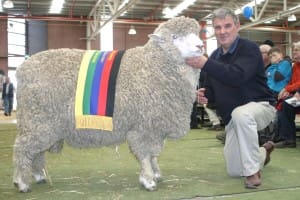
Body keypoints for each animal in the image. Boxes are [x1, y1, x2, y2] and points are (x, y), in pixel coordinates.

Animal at [12, 16, 203, 193]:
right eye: (175, 37)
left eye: (197, 33)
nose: (200, 46)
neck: (153, 65)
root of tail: (22, 69)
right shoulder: (143, 127)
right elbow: (145, 155)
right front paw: (148, 180)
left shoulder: (156, 127)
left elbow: (153, 155)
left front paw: (156, 173)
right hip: (37, 120)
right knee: (22, 148)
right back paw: (21, 182)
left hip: (41, 124)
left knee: (36, 152)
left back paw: (39, 176)